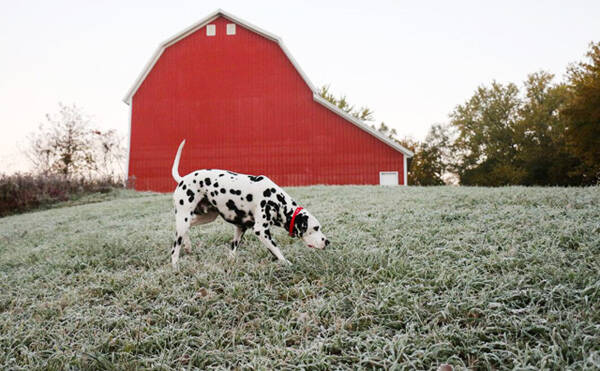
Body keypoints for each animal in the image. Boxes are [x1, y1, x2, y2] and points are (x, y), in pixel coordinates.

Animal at [169, 140, 328, 268]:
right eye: (315, 228)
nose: (327, 242)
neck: (277, 201)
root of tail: (182, 179)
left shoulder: (241, 228)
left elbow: (233, 251)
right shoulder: (261, 231)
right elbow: (277, 251)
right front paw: (287, 263)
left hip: (205, 217)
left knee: (186, 229)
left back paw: (188, 246)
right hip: (184, 218)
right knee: (175, 248)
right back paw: (176, 265)